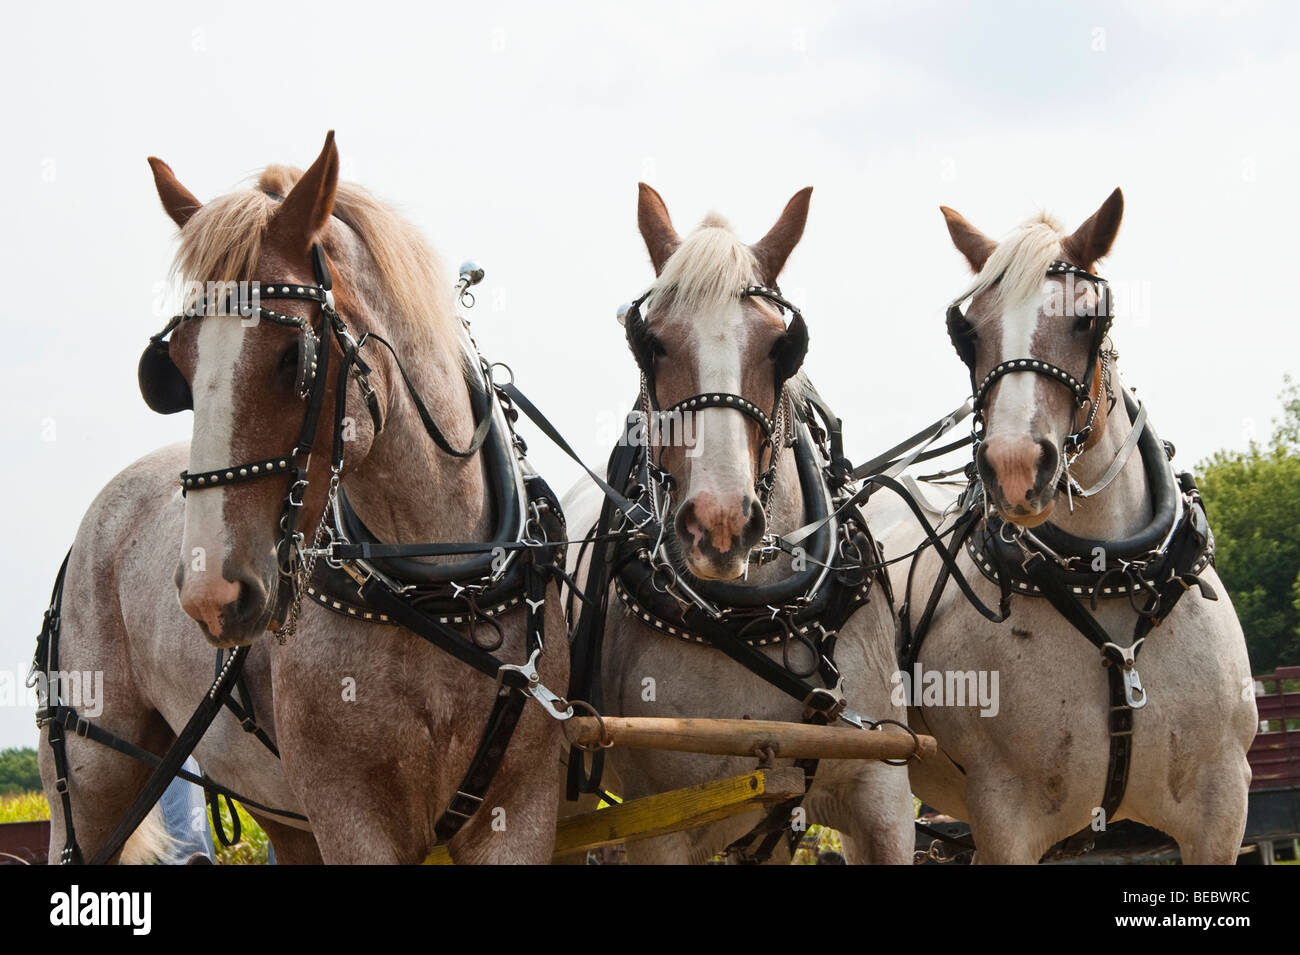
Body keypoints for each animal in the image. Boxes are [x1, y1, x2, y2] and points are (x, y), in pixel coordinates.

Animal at [38, 133, 569, 864]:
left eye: (296, 357)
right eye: (173, 366)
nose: (212, 593)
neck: (439, 588)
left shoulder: (524, 806)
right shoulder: (348, 812)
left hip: (281, 812)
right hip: (93, 775)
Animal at [560, 184, 915, 864]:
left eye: (784, 346)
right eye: (650, 343)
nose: (719, 524)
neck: (763, 617)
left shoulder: (881, 792)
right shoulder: (661, 824)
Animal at [870, 189, 1257, 864]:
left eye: (1088, 319)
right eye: (967, 331)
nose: (1014, 467)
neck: (1107, 582)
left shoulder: (1222, 807)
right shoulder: (1004, 817)